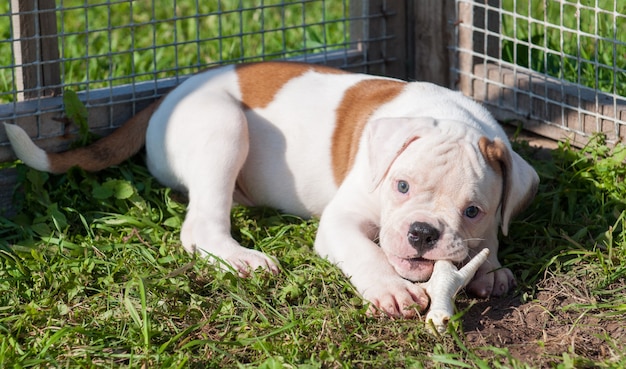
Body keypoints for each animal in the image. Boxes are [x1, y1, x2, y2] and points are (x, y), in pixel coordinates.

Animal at [4, 60, 536, 316]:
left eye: (473, 211)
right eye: (401, 186)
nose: (423, 233)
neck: (451, 118)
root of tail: (170, 94)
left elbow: (487, 245)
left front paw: (490, 270)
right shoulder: (341, 223)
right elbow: (368, 251)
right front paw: (391, 289)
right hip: (222, 126)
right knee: (200, 227)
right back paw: (242, 259)